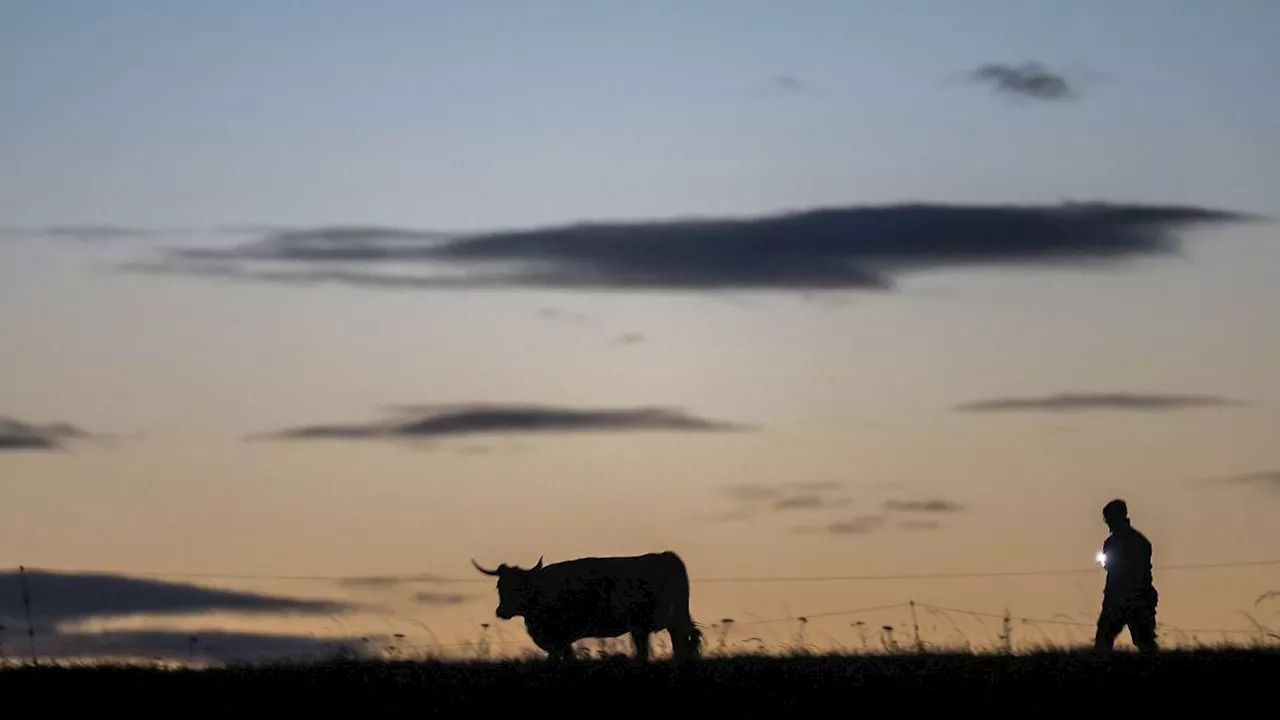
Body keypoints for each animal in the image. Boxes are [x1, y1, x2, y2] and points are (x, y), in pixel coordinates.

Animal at [473, 548, 706, 661]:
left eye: (519, 588)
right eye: (499, 586)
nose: (501, 611)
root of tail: (667, 555)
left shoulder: (559, 635)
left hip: (666, 621)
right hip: (653, 625)